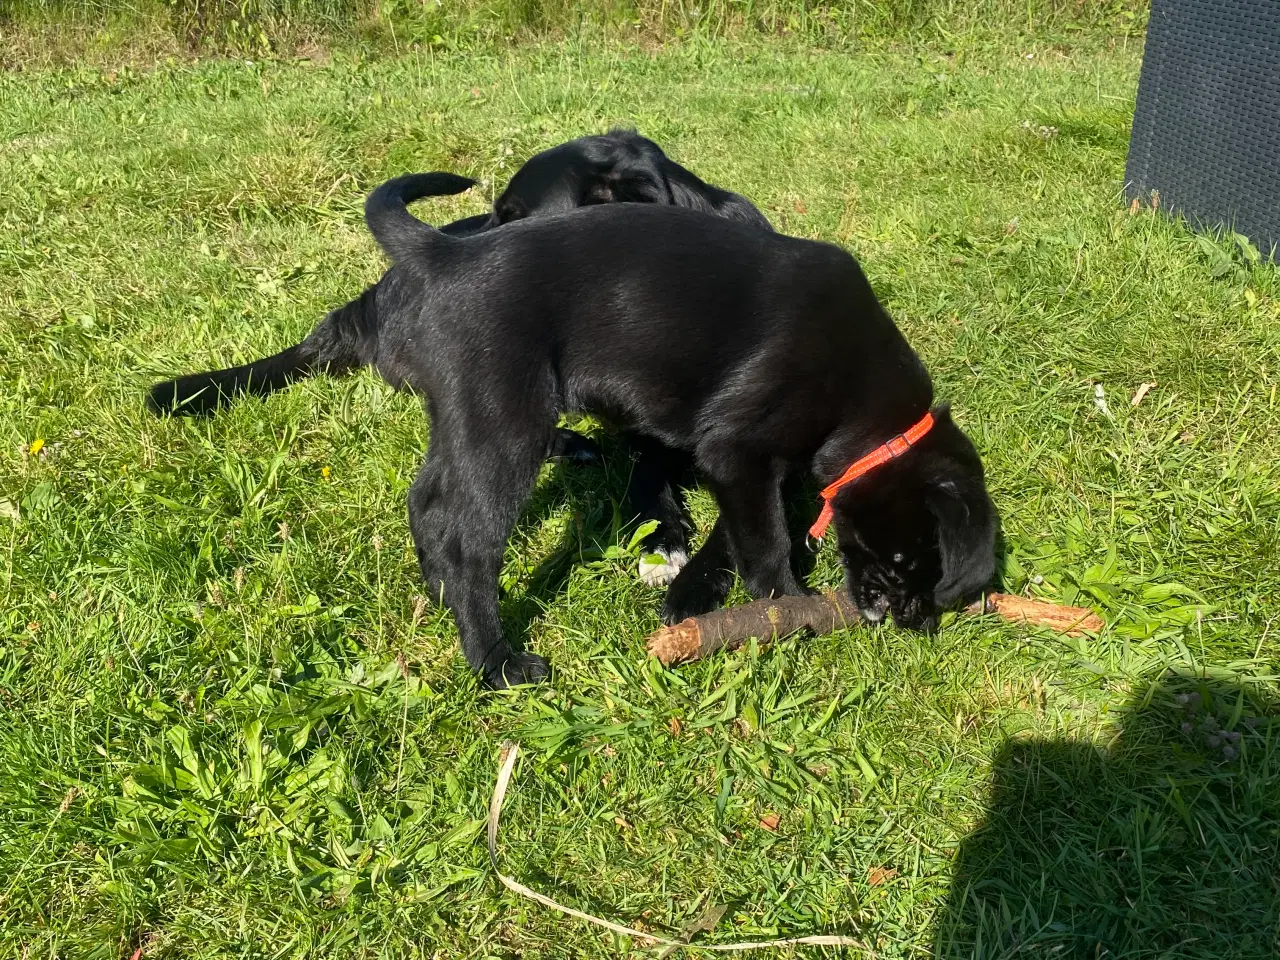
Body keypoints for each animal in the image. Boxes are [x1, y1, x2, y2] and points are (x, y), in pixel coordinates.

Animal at [345, 176, 993, 686]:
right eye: (908, 555)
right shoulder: (737, 452)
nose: (912, 620)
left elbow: (738, 533)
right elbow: (766, 543)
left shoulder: (756, 467)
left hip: (465, 420)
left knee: (427, 502)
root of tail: (447, 255)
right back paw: (496, 661)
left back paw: (439, 594)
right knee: (467, 544)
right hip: (506, 428)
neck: (868, 407)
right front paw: (790, 609)